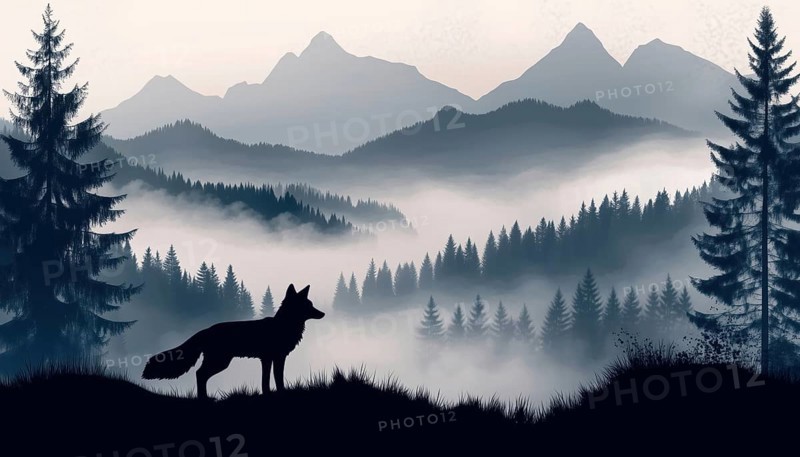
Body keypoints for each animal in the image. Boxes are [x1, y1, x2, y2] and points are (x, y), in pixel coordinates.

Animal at [142, 283, 324, 399]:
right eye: (308, 305)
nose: (323, 314)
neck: (284, 325)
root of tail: (206, 329)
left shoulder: (267, 359)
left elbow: (266, 380)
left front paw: (267, 394)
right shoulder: (277, 357)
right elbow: (278, 379)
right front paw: (281, 394)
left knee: (200, 375)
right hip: (220, 362)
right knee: (200, 374)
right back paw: (204, 399)